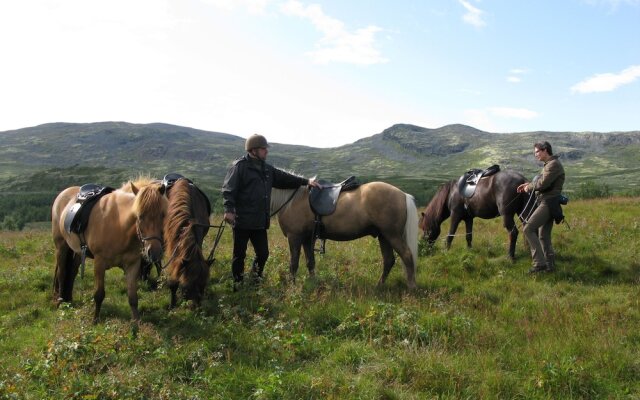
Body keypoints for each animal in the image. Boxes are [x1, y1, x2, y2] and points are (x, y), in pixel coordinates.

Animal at [52, 180, 168, 324]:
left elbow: (133, 297)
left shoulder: (132, 265)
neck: (119, 225)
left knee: (72, 272)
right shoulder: (99, 263)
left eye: (162, 215)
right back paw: (60, 302)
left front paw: (136, 323)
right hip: (61, 246)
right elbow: (99, 294)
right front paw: (95, 320)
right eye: (139, 216)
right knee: (62, 273)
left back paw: (69, 299)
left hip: (78, 251)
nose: (154, 252)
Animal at [270, 180, 420, 288]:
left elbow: (293, 264)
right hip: (384, 236)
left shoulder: (294, 237)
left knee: (407, 256)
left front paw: (292, 287)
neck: (292, 200)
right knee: (389, 260)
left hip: (392, 235)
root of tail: (403, 195)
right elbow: (310, 262)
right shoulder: (307, 238)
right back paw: (379, 285)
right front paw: (313, 283)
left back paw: (411, 287)